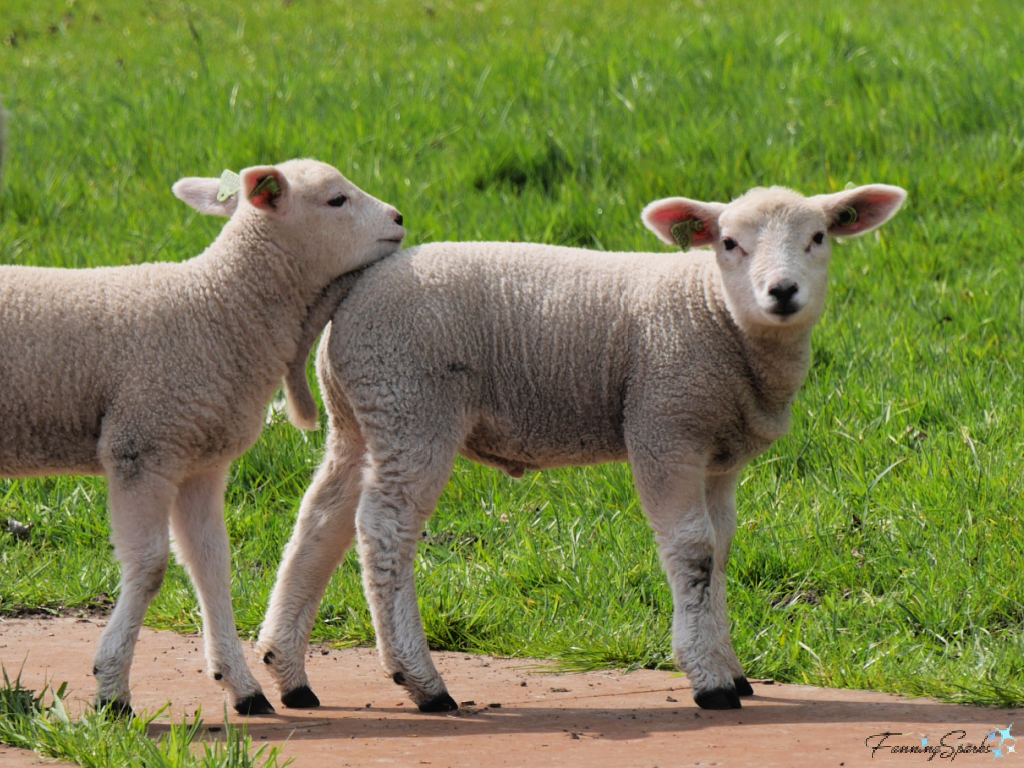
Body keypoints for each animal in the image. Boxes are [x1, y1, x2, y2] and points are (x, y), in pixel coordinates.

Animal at [0, 159, 407, 720]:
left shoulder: (200, 462)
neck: (216, 308)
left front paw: (242, 686)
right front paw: (112, 690)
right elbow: (149, 568)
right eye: (336, 201)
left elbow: (212, 565)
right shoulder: (142, 447)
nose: (399, 218)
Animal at [247, 183, 905, 712]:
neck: (713, 313)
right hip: (412, 406)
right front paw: (711, 681)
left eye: (819, 237)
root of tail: (355, 287)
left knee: (321, 521)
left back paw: (288, 672)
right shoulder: (664, 427)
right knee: (386, 531)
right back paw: (422, 683)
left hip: (361, 416)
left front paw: (731, 667)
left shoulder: (719, 456)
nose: (782, 292)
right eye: (728, 244)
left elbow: (719, 552)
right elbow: (692, 551)